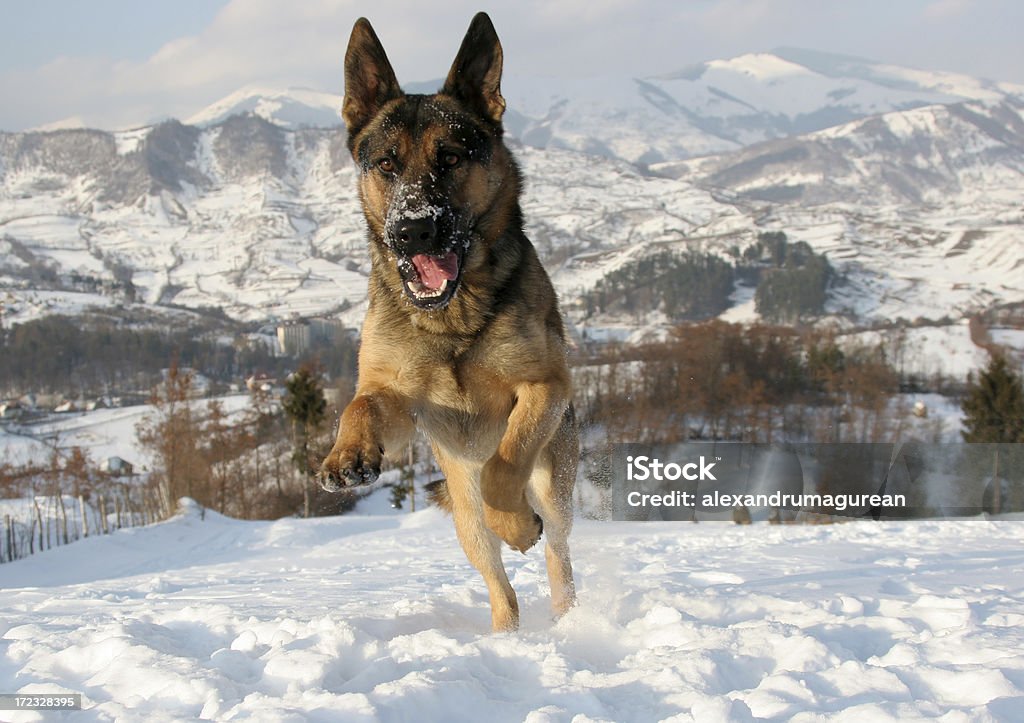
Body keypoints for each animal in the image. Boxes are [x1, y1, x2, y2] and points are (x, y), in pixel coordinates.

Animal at [319, 12, 577, 630]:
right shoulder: (400, 399)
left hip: (554, 487)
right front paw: (346, 455)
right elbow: (360, 404)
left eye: (452, 158)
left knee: (556, 551)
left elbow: (505, 461)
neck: (451, 321)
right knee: (501, 587)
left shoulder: (546, 387)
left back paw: (564, 613)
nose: (413, 231)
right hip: (465, 525)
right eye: (386, 164)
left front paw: (516, 522)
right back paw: (507, 638)